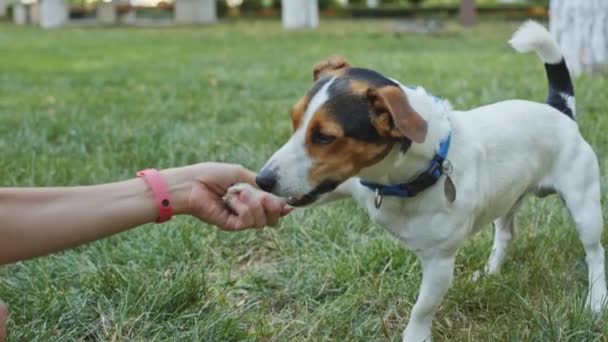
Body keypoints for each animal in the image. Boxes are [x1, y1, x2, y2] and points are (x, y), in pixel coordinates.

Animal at [226, 20, 604, 340]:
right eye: (294, 122)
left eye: (324, 136)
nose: (263, 179)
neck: (401, 178)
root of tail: (558, 108)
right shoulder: (349, 183)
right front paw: (244, 194)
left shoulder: (439, 262)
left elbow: (422, 309)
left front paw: (415, 334)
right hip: (509, 198)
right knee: (507, 234)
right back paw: (492, 271)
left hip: (584, 206)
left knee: (595, 253)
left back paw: (597, 300)